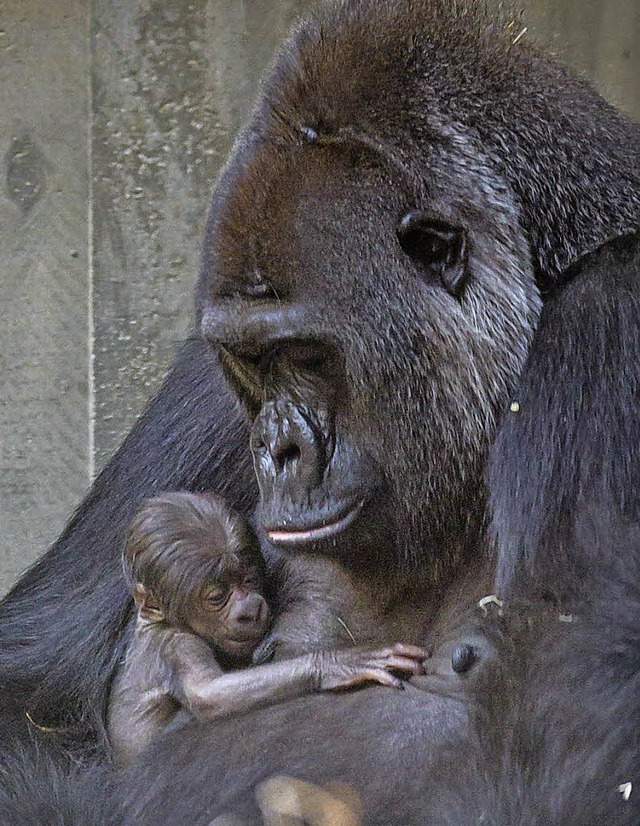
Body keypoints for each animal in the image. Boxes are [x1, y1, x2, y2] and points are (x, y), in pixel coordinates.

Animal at [106, 490, 424, 768]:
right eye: (217, 597)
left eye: (248, 579)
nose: (249, 610)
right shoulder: (178, 645)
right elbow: (208, 694)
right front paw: (334, 664)